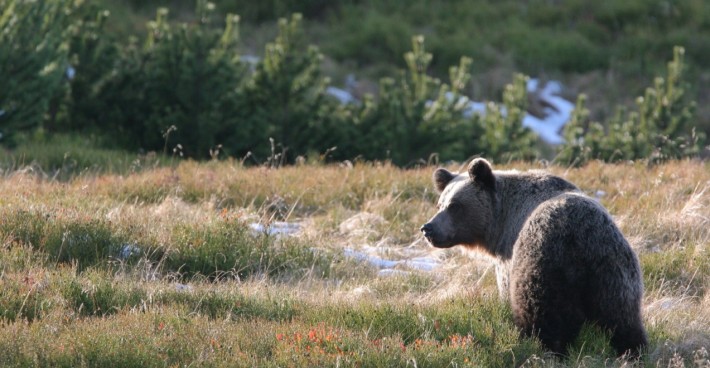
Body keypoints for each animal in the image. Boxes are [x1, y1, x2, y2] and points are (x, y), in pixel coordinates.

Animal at [422, 157, 652, 356]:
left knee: (542, 314)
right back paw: (631, 350)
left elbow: (506, 291)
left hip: (541, 263)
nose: (428, 228)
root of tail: (579, 236)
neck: (501, 221)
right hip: (613, 270)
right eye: (440, 204)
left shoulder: (509, 256)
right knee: (621, 318)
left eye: (455, 205)